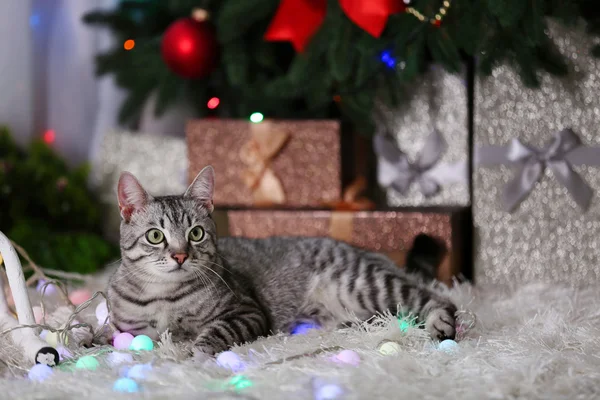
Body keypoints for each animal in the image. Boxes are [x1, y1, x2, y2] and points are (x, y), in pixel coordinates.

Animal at [108, 166, 454, 356]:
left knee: (438, 299)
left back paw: (441, 323)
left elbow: (216, 331)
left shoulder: (247, 311)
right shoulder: (129, 328)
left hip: (362, 284)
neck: (164, 296)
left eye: (196, 233)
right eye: (156, 236)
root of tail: (364, 251)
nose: (180, 255)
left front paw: (197, 351)